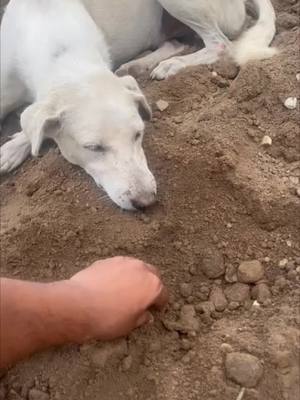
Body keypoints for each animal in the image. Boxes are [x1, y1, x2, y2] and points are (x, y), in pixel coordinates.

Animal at [0, 0, 276, 211]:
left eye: (138, 134)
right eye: (93, 148)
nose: (146, 201)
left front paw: (13, 146)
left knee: (219, 44)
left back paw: (171, 65)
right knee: (179, 41)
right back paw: (141, 64)